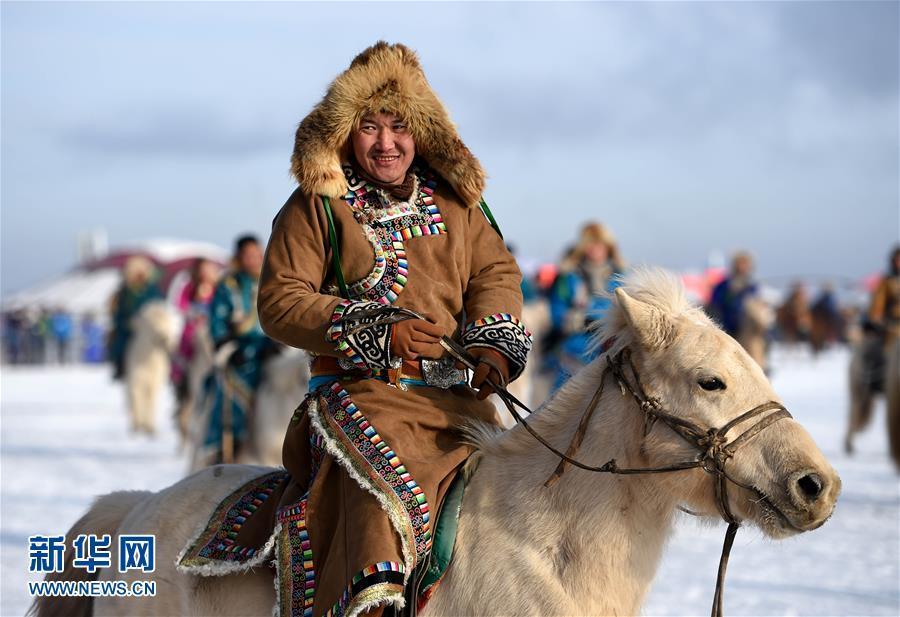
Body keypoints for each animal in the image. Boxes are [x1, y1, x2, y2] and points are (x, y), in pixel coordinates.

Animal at [123, 300, 179, 436]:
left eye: (167, 323)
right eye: (151, 325)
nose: (165, 339)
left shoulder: (154, 380)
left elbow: (150, 401)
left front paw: (150, 428)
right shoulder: (135, 377)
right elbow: (136, 398)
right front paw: (137, 427)